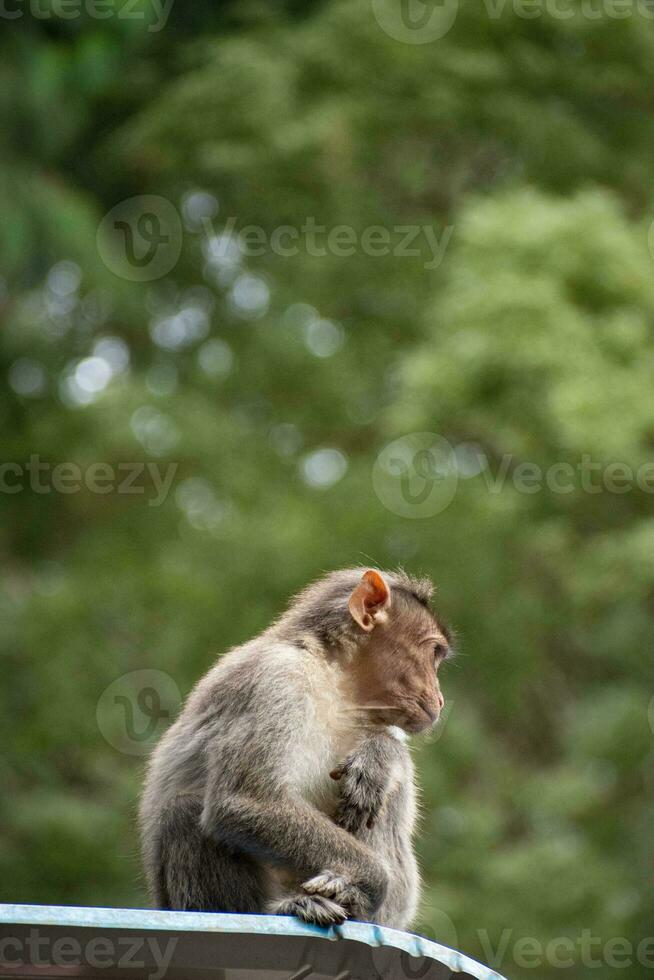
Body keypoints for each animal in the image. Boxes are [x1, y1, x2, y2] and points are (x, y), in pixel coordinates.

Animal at [141, 568, 454, 928]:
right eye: (433, 652)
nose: (440, 698)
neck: (337, 684)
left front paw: (379, 758)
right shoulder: (277, 679)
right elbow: (246, 801)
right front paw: (371, 883)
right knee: (183, 810)